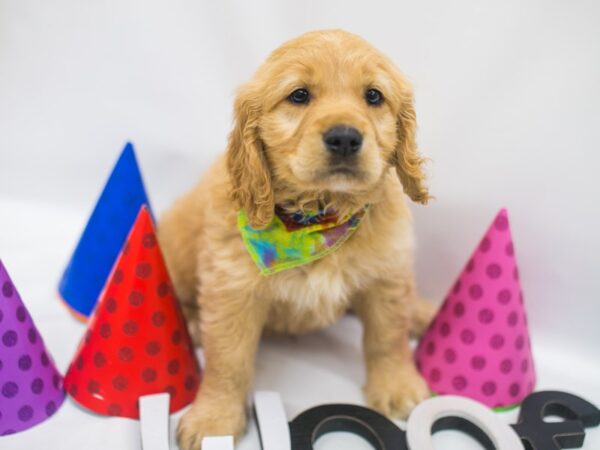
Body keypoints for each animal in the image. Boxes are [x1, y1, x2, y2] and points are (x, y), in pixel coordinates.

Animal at [157, 29, 434, 450]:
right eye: (299, 95)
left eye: (373, 96)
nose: (344, 138)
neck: (319, 217)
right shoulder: (231, 288)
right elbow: (228, 360)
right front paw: (214, 419)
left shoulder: (387, 272)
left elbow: (388, 335)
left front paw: (397, 386)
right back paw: (190, 323)